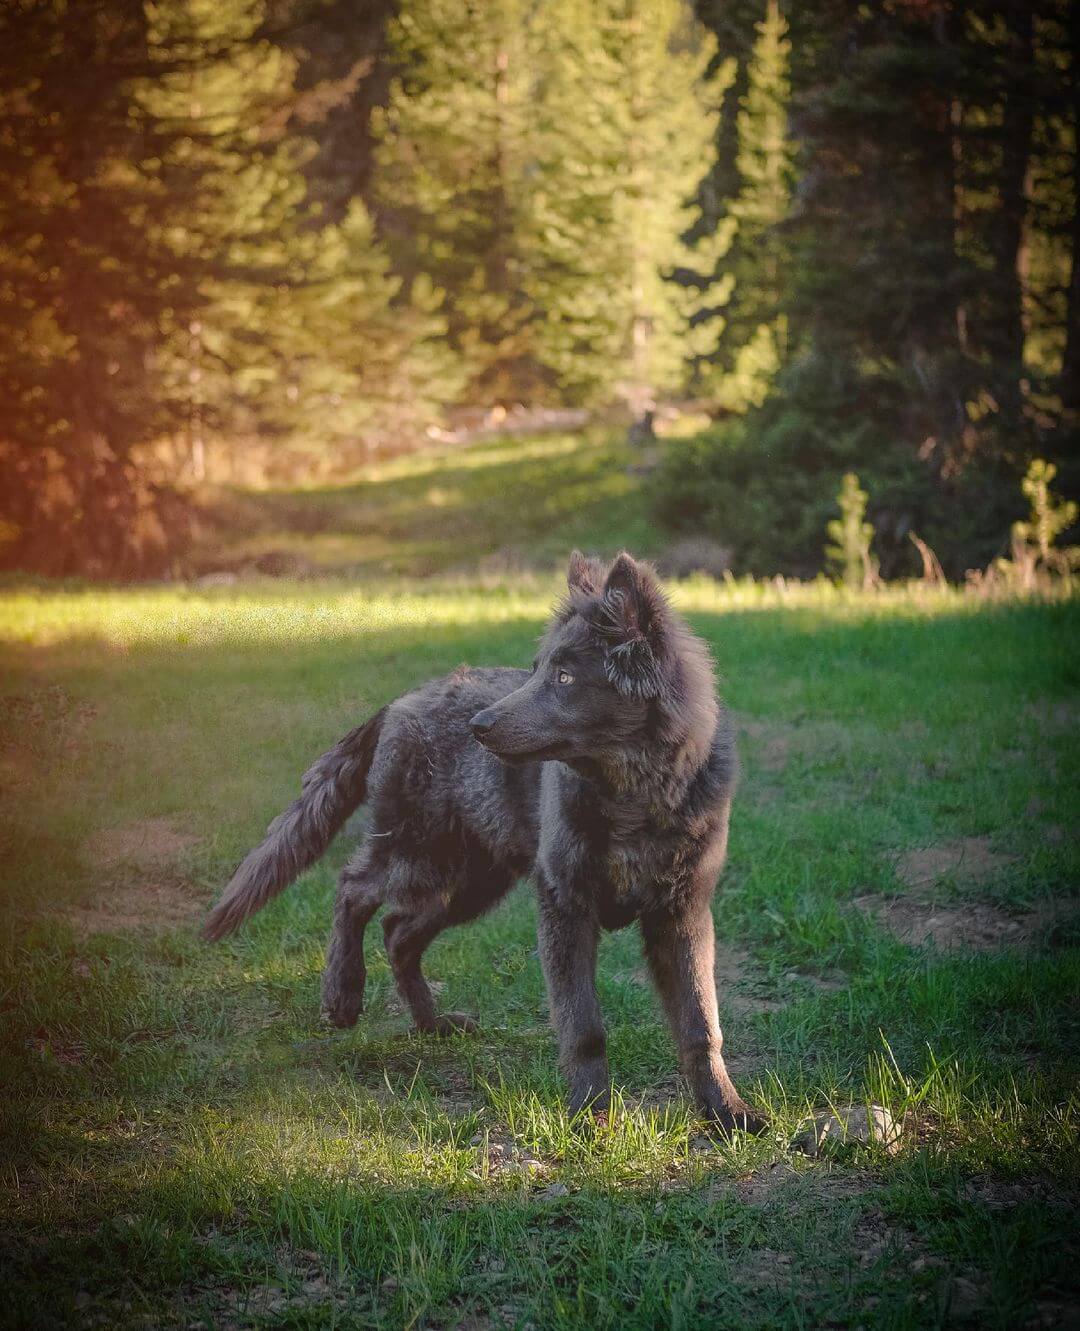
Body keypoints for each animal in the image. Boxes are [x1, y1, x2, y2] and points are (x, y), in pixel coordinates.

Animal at [201, 551, 761, 1134]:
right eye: (536, 669)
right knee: (353, 888)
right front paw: (591, 1116)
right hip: (420, 855)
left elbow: (701, 1025)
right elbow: (583, 1025)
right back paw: (343, 993)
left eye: (565, 676)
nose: (478, 727)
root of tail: (402, 700)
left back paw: (431, 1024)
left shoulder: (681, 914)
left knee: (397, 932)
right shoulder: (564, 906)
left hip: (471, 881)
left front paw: (726, 1112)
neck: (634, 798)